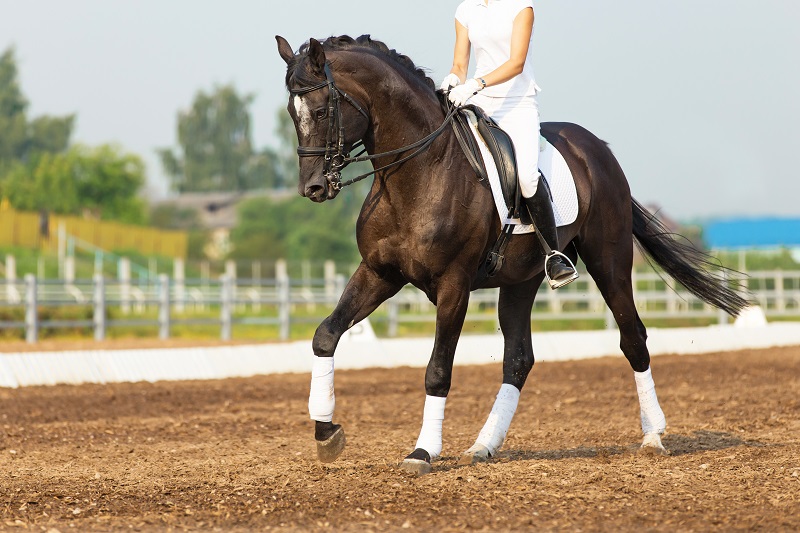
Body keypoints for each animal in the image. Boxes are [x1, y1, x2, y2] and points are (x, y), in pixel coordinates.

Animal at [276, 34, 748, 475]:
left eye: (322, 111)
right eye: (292, 115)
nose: (313, 187)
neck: (419, 171)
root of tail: (597, 148)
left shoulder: (454, 285)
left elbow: (437, 369)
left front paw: (422, 452)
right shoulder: (379, 273)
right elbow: (325, 335)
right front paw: (326, 433)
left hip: (609, 261)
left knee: (633, 337)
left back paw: (653, 436)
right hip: (522, 280)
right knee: (519, 358)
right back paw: (484, 445)